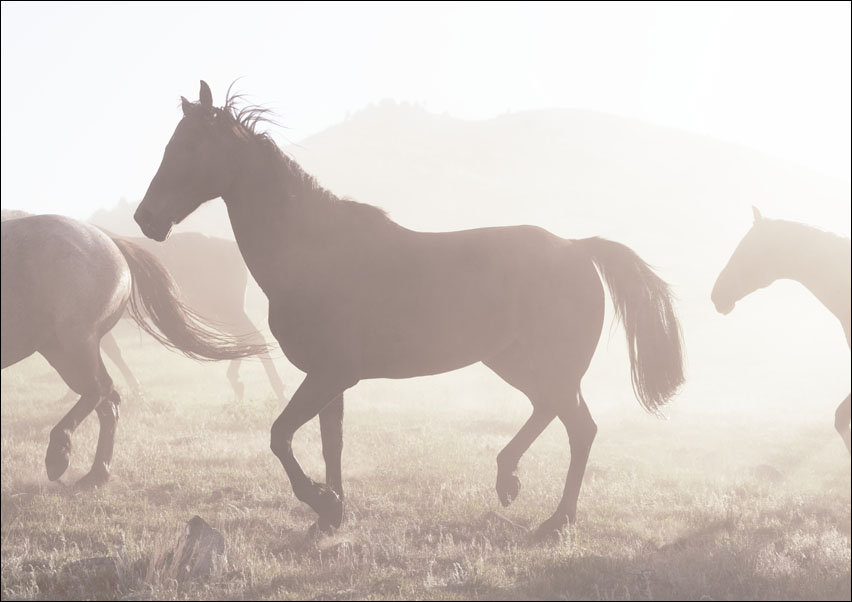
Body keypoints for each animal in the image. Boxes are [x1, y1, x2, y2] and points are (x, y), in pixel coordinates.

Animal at [0, 213, 266, 486]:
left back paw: (60, 455)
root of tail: (111, 242)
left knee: (101, 391)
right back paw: (96, 473)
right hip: (62, 349)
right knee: (107, 401)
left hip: (73, 344)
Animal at [133, 81, 684, 540]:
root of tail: (577, 247)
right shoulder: (329, 379)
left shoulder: (330, 374)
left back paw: (550, 515)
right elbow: (329, 442)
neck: (314, 252)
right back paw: (512, 482)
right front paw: (332, 514)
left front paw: (322, 503)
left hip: (544, 366)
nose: (145, 218)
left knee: (579, 427)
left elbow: (280, 436)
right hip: (515, 363)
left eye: (190, 146)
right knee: (556, 415)